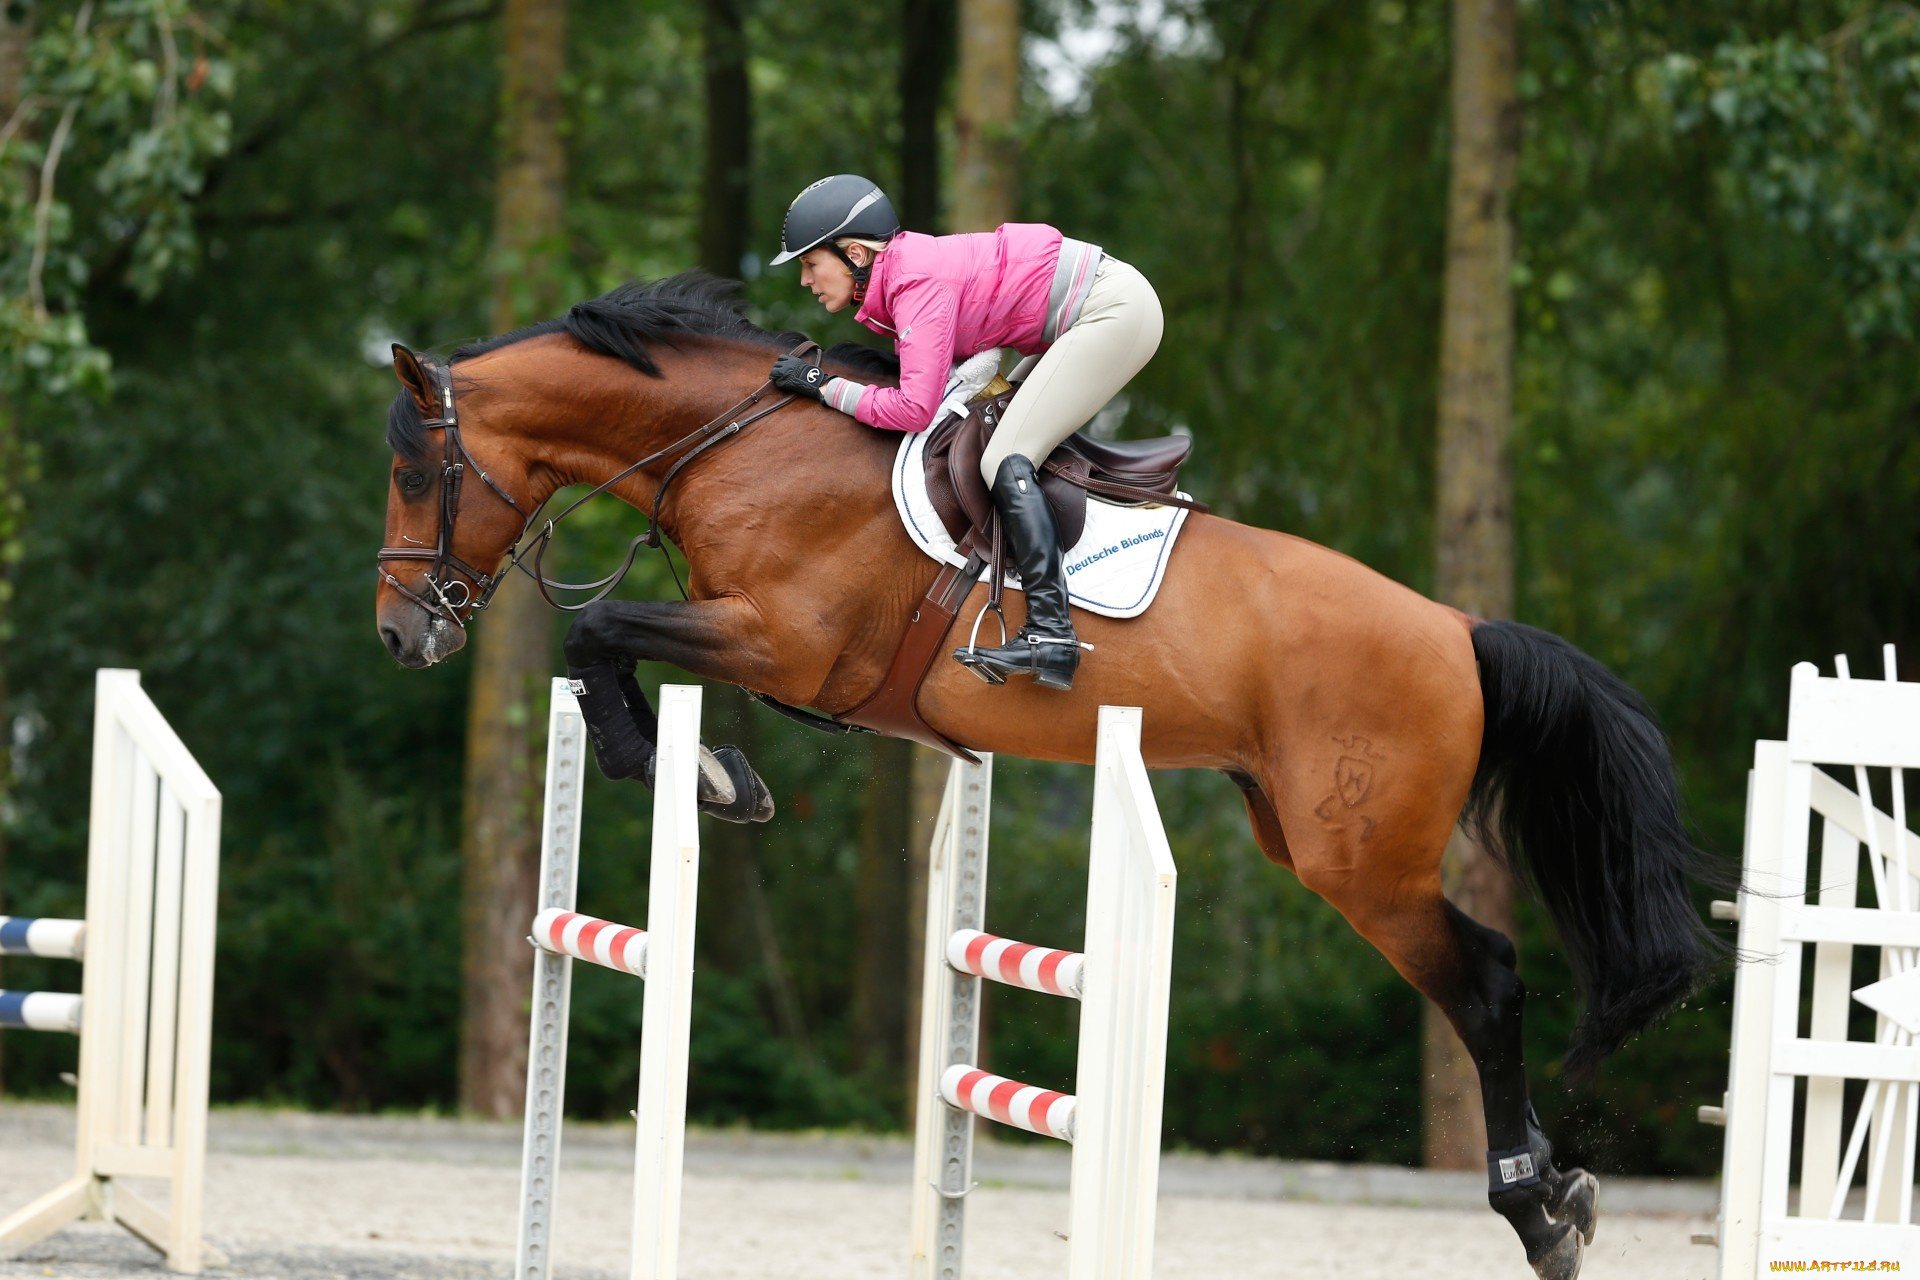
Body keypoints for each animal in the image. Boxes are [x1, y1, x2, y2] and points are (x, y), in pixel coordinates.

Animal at [374, 274, 1715, 1280]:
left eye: (411, 473)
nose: (402, 635)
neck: (742, 441)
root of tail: (1458, 628)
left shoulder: (781, 642)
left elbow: (599, 633)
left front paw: (692, 768)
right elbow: (604, 643)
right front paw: (704, 766)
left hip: (1364, 860)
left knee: (1485, 982)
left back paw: (1539, 1208)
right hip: (1300, 831)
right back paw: (1556, 1192)